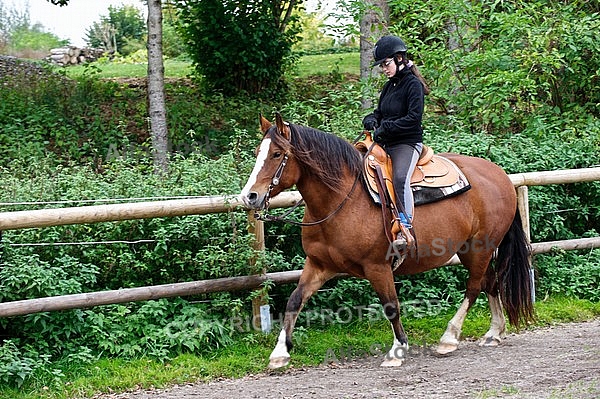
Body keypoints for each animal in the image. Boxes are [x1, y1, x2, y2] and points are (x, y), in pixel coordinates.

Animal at [241, 114, 532, 370]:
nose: (249, 196)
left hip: (479, 248)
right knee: (490, 282)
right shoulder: (318, 265)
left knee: (473, 287)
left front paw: (397, 350)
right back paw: (494, 333)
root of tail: (501, 175)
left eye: (277, 154)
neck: (342, 199)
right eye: (257, 152)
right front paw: (279, 353)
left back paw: (449, 338)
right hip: (470, 251)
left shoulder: (377, 267)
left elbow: (391, 306)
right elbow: (294, 301)